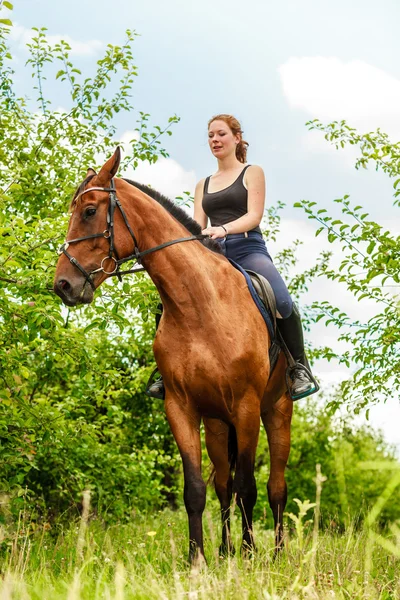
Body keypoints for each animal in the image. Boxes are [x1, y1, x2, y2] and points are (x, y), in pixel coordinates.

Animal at [53, 148, 292, 564]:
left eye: (89, 210)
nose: (63, 285)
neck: (200, 304)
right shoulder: (181, 407)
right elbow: (196, 490)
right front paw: (197, 560)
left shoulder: (246, 407)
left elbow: (249, 488)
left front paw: (248, 556)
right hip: (216, 423)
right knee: (224, 484)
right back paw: (225, 550)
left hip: (276, 412)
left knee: (275, 488)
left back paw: (275, 555)